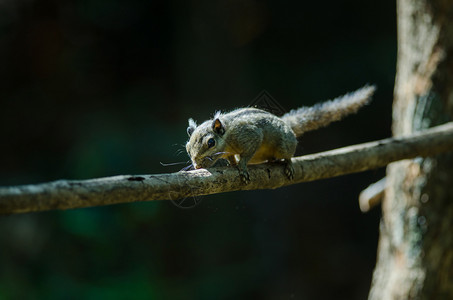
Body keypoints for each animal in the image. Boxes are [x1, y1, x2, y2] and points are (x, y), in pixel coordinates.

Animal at [185, 84, 376, 183]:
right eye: (187, 148)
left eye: (211, 142)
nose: (197, 166)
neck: (228, 136)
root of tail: (286, 124)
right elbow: (231, 157)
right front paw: (232, 163)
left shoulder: (250, 135)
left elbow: (247, 153)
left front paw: (242, 166)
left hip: (284, 144)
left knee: (288, 154)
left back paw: (288, 164)